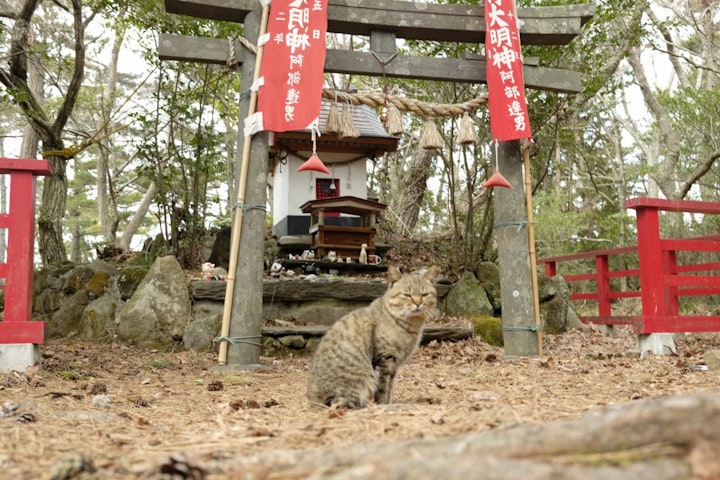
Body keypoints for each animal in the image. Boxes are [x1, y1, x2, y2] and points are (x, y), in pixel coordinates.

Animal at [306, 266, 438, 408]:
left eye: (424, 295)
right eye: (407, 295)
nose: (418, 303)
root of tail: (312, 400)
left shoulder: (394, 366)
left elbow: (390, 389)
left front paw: (389, 403)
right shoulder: (384, 360)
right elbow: (383, 389)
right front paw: (384, 405)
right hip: (359, 381)